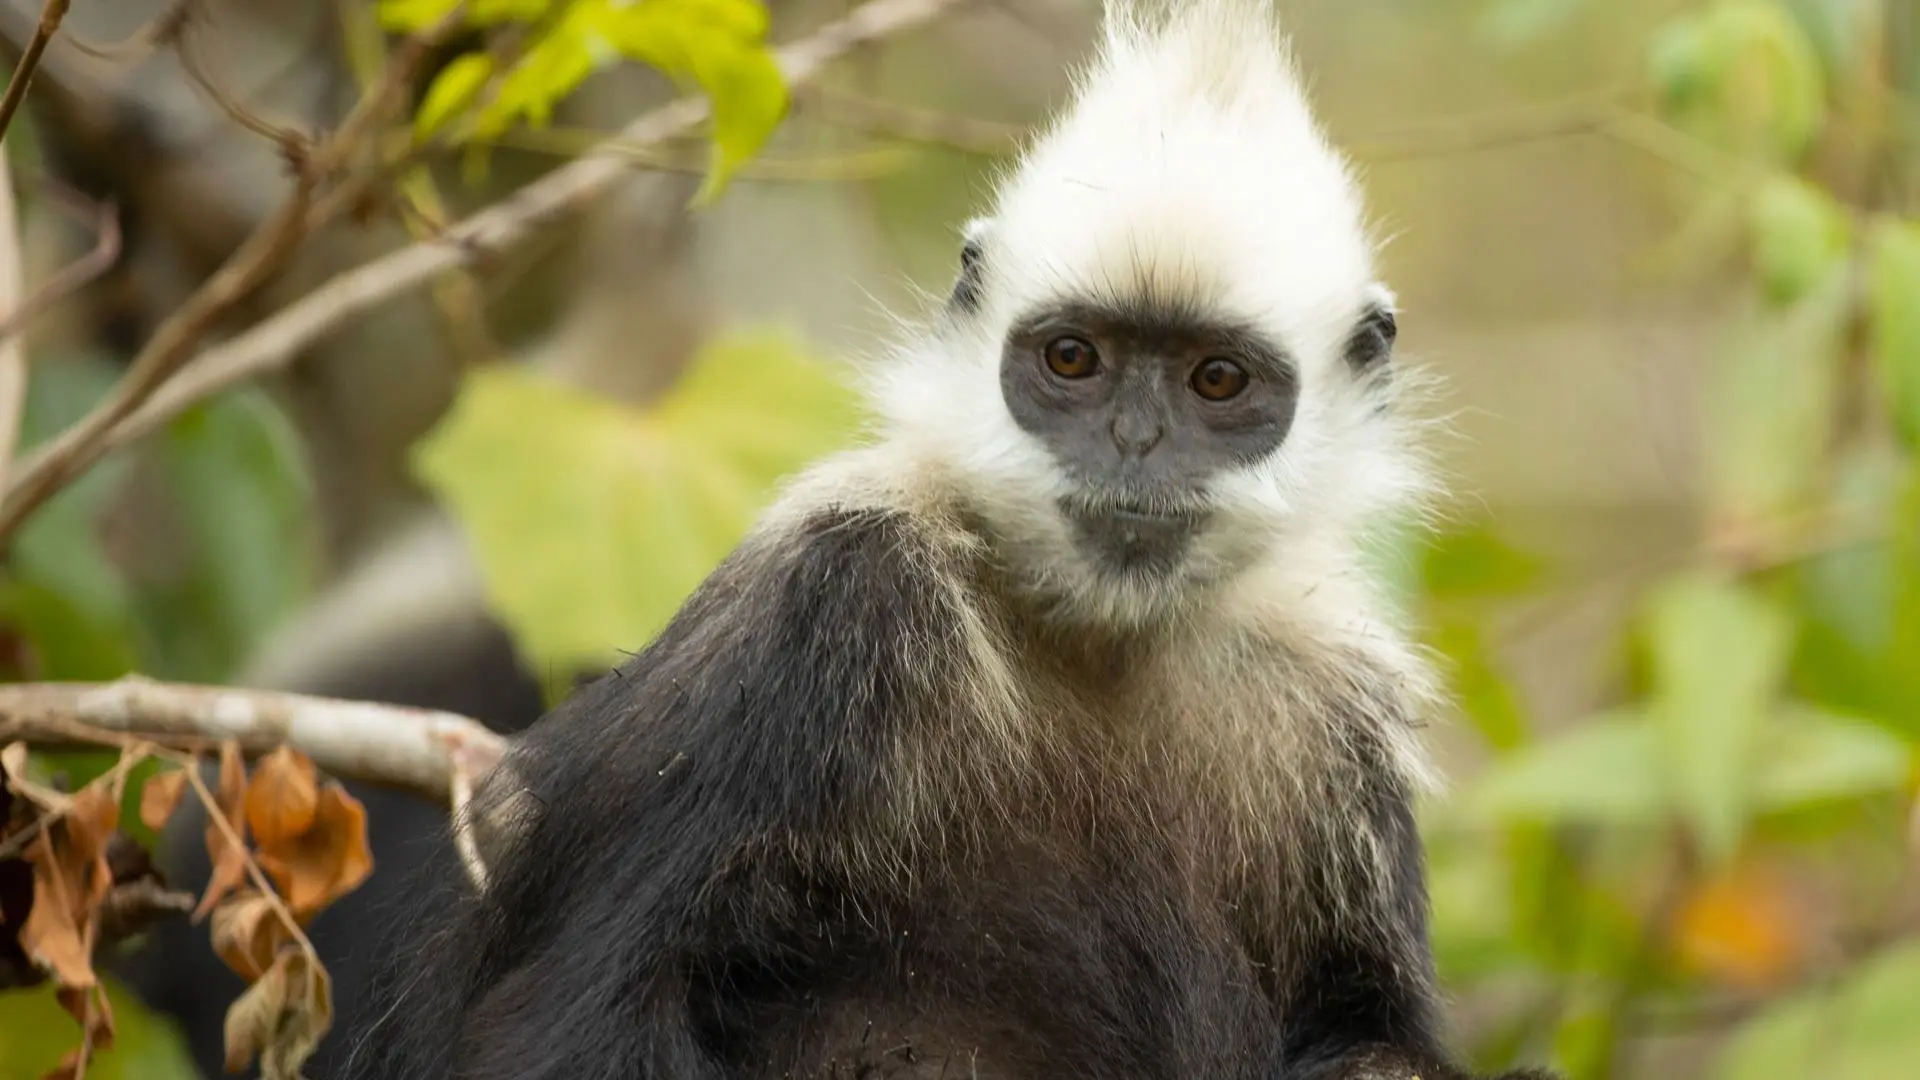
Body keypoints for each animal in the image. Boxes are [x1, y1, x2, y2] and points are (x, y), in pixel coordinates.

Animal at [335, 3, 1559, 1079]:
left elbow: (1371, 1032)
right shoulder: (834, 600)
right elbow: (568, 1017)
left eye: (1216, 380)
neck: (1103, 644)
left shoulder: (1337, 711)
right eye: (1074, 360)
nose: (1135, 442)